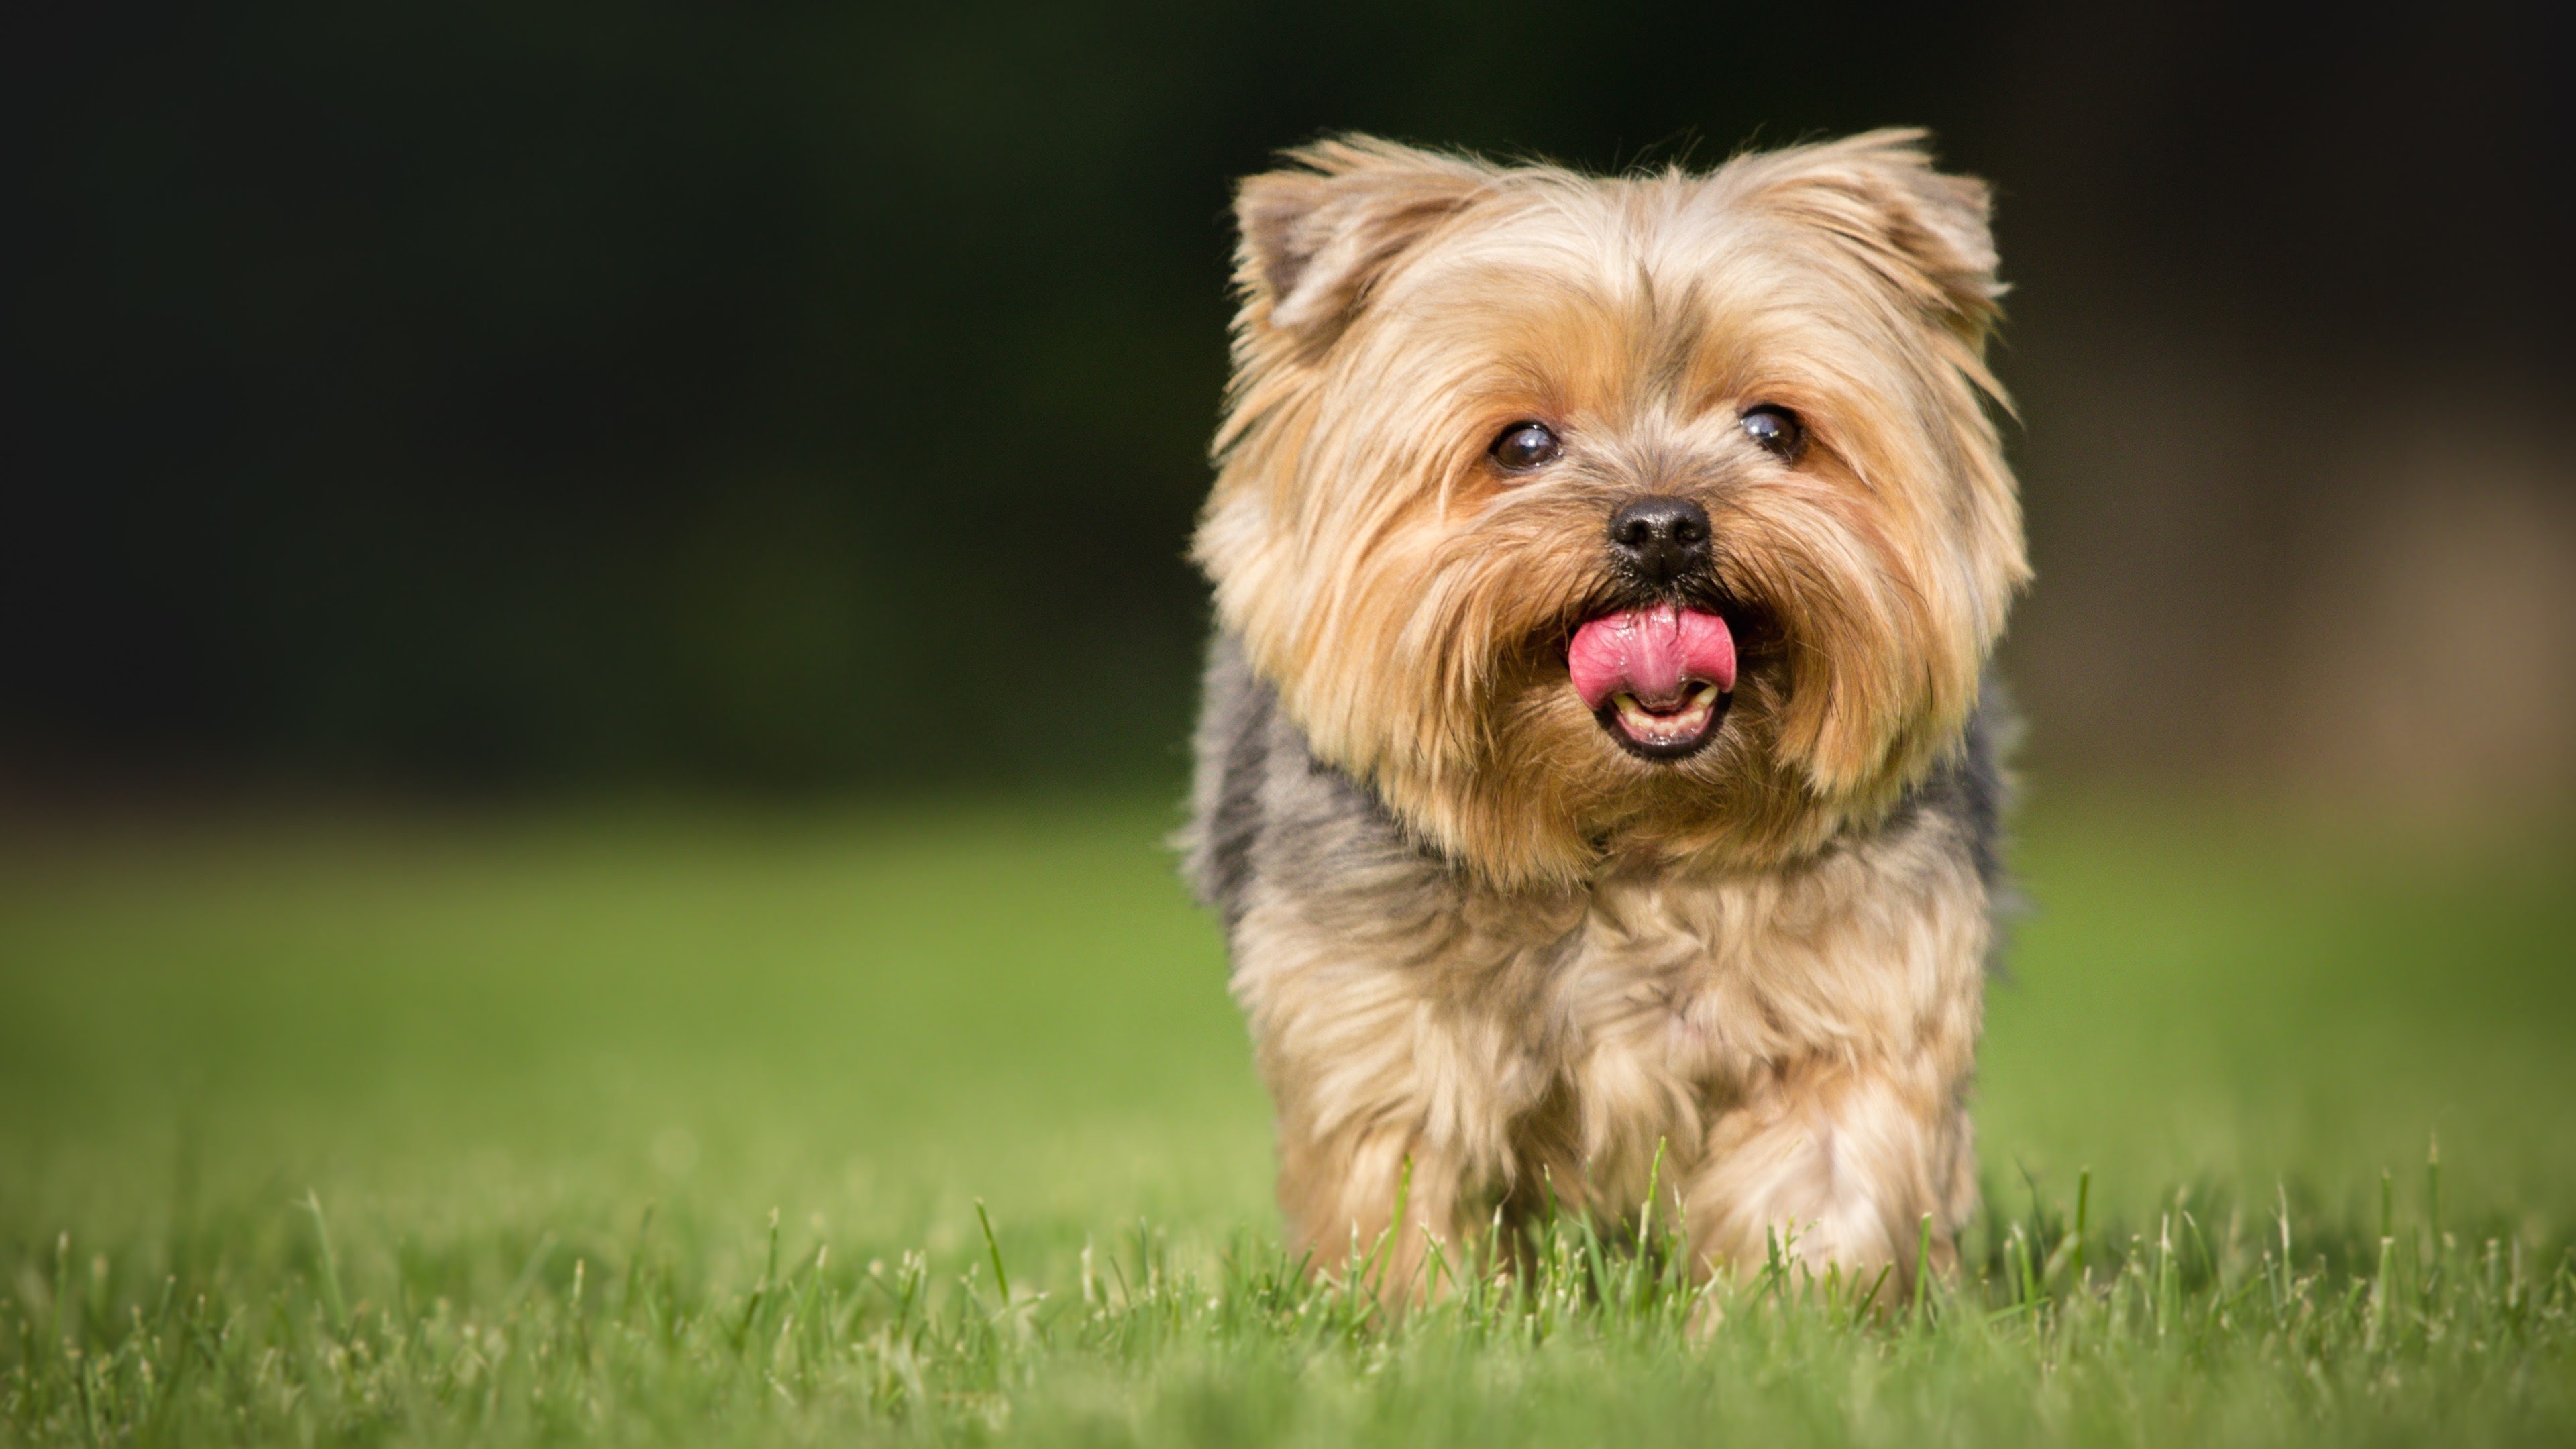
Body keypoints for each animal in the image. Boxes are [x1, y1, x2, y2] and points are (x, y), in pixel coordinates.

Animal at [1185, 129, 2029, 1289]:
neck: (1637, 839)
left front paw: (1782, 1314)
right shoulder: (1382, 1029)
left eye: (1774, 427)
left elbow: (1825, 1181)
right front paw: (1421, 1316)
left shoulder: (1860, 1001)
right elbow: (1403, 1201)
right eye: (1523, 445)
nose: (1664, 524)